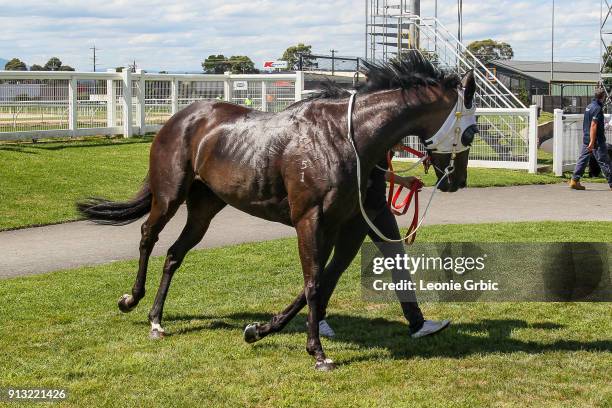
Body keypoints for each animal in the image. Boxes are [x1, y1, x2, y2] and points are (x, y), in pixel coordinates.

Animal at [77, 52, 474, 372]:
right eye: (471, 133)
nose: (458, 181)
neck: (344, 137)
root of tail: (181, 117)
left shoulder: (342, 224)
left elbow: (323, 279)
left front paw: (260, 329)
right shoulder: (310, 220)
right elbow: (314, 283)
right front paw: (317, 352)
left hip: (205, 207)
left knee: (174, 254)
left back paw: (157, 319)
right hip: (169, 194)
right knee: (149, 235)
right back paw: (132, 300)